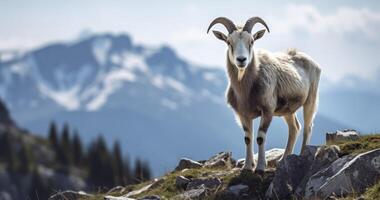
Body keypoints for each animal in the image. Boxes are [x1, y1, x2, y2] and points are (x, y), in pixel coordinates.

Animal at [208, 16, 320, 173]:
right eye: (229, 42)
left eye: (252, 41)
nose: (241, 60)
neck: (246, 92)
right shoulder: (243, 115)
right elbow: (248, 138)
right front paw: (247, 167)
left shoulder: (267, 111)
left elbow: (260, 137)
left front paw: (260, 168)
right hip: (288, 111)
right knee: (294, 128)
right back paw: (283, 159)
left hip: (311, 100)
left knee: (307, 128)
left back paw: (302, 154)